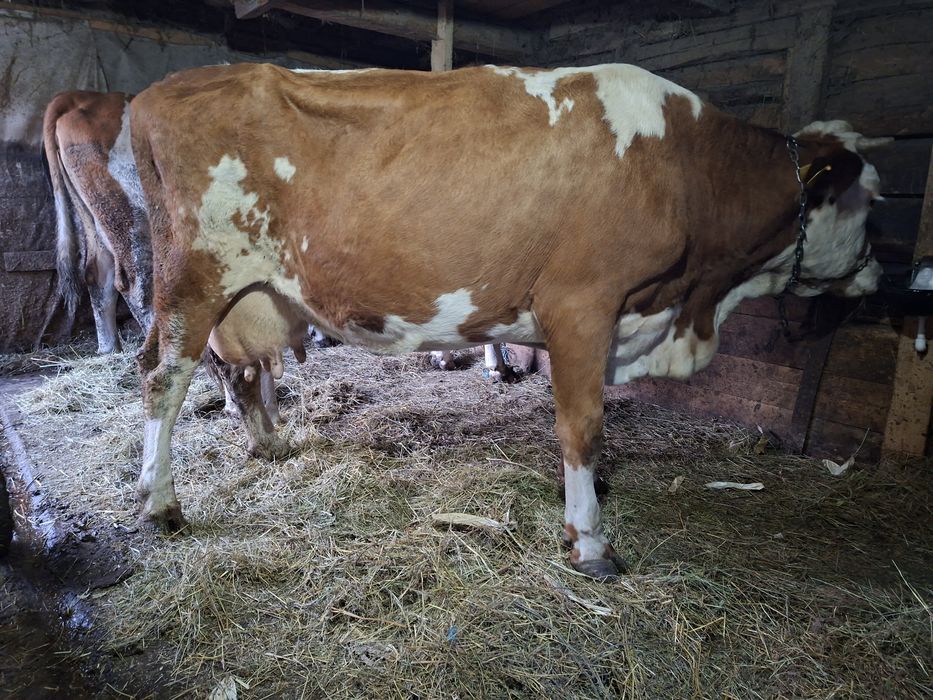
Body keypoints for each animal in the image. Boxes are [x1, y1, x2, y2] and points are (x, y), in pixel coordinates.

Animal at [130, 63, 882, 579]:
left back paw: (265, 445)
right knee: (163, 379)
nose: (880, 274)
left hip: (235, 295)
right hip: (194, 279)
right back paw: (160, 503)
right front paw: (590, 540)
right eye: (870, 200)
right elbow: (582, 426)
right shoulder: (581, 303)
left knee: (231, 371)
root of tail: (157, 91)